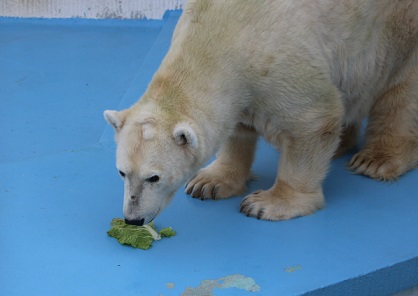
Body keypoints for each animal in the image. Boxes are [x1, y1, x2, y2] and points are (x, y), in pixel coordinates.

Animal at [103, 0, 418, 225]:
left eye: (153, 177)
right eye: (122, 172)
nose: (132, 220)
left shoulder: (278, 60)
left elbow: (314, 118)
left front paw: (267, 203)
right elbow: (237, 130)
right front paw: (209, 182)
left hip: (399, 28)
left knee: (401, 94)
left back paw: (376, 159)